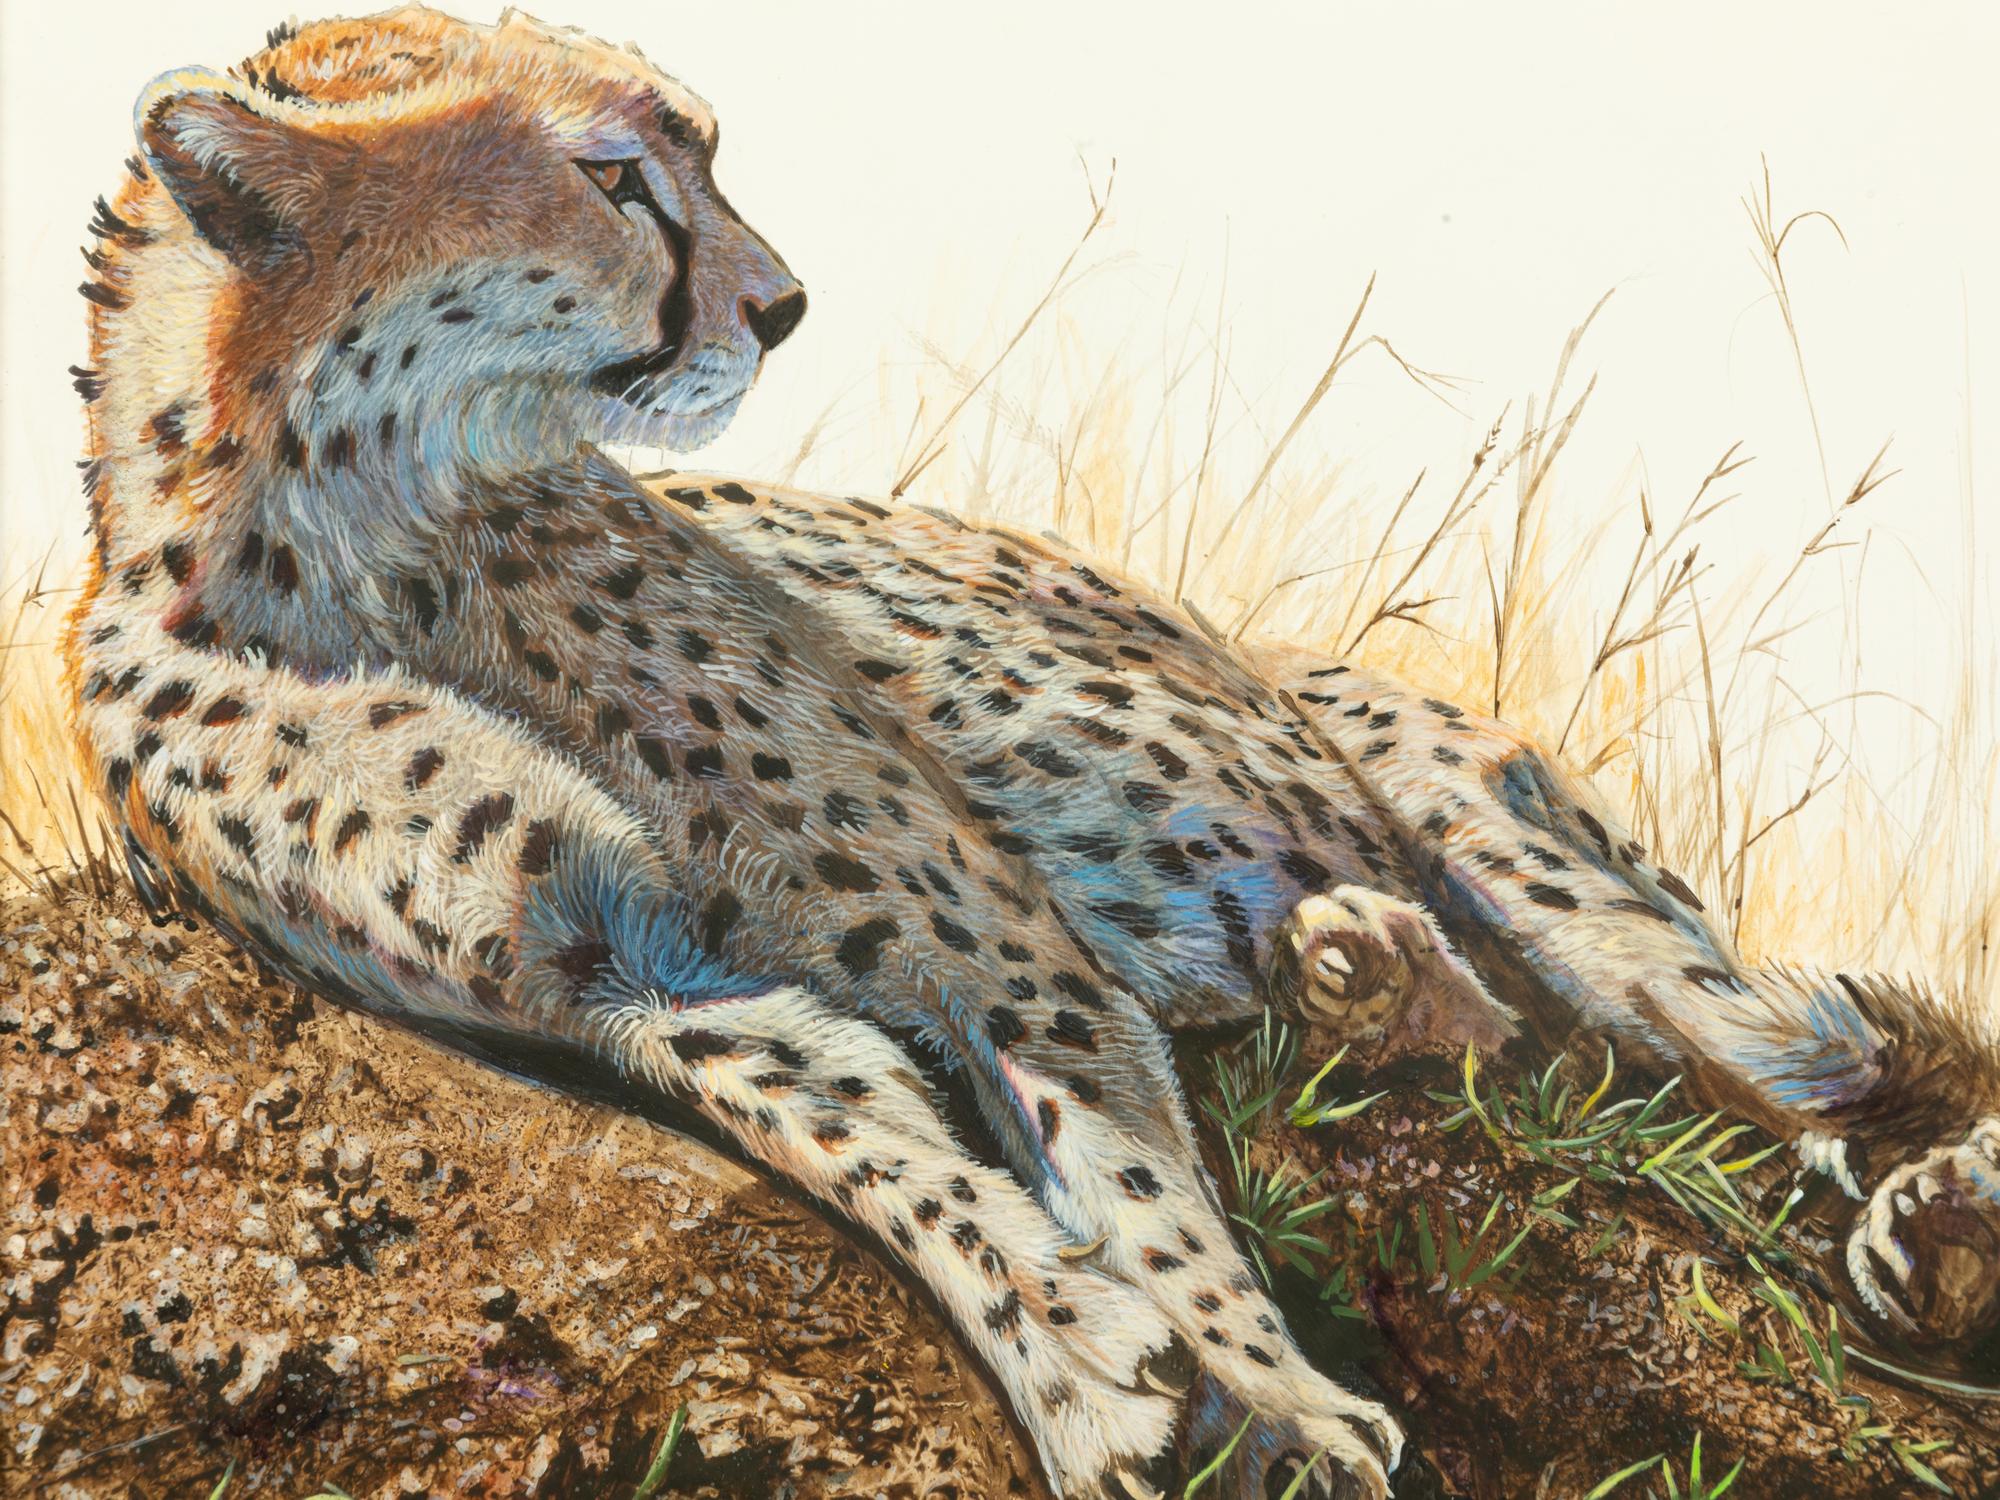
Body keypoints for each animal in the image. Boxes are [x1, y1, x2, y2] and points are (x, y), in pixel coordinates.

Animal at [58, 7, 2000, 1497]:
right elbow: (858, 1130)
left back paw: (1921, 1212)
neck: (370, 533)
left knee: (1751, 1056)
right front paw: (1083, 1368)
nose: (781, 305)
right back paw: (1372, 979)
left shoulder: (994, 948)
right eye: (614, 175)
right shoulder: (617, 971)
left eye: (701, 154)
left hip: (1447, 782)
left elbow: (1140, 1186)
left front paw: (1272, 1397)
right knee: (1547, 1051)